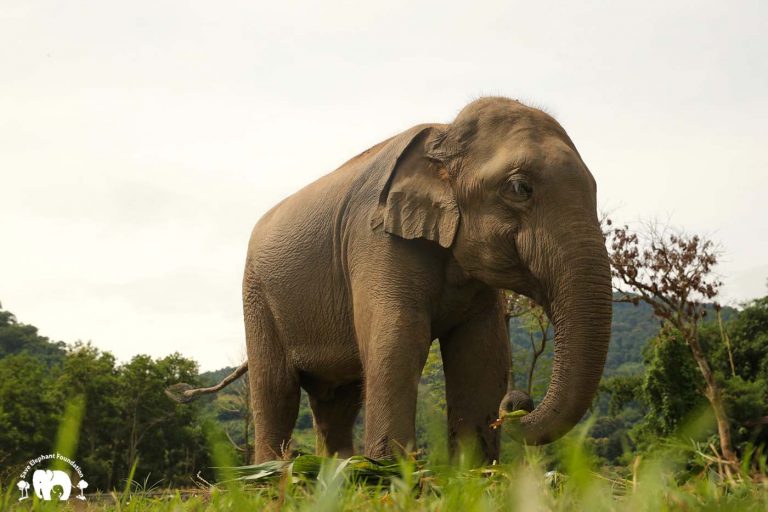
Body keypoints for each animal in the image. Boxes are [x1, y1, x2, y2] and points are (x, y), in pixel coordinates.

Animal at [167, 97, 612, 463]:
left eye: (595, 188)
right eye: (520, 187)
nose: (517, 402)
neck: (443, 134)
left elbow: (481, 352)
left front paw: (473, 474)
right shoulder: (376, 239)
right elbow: (399, 337)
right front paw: (392, 471)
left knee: (338, 400)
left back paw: (336, 471)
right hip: (257, 294)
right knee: (276, 387)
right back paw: (274, 474)